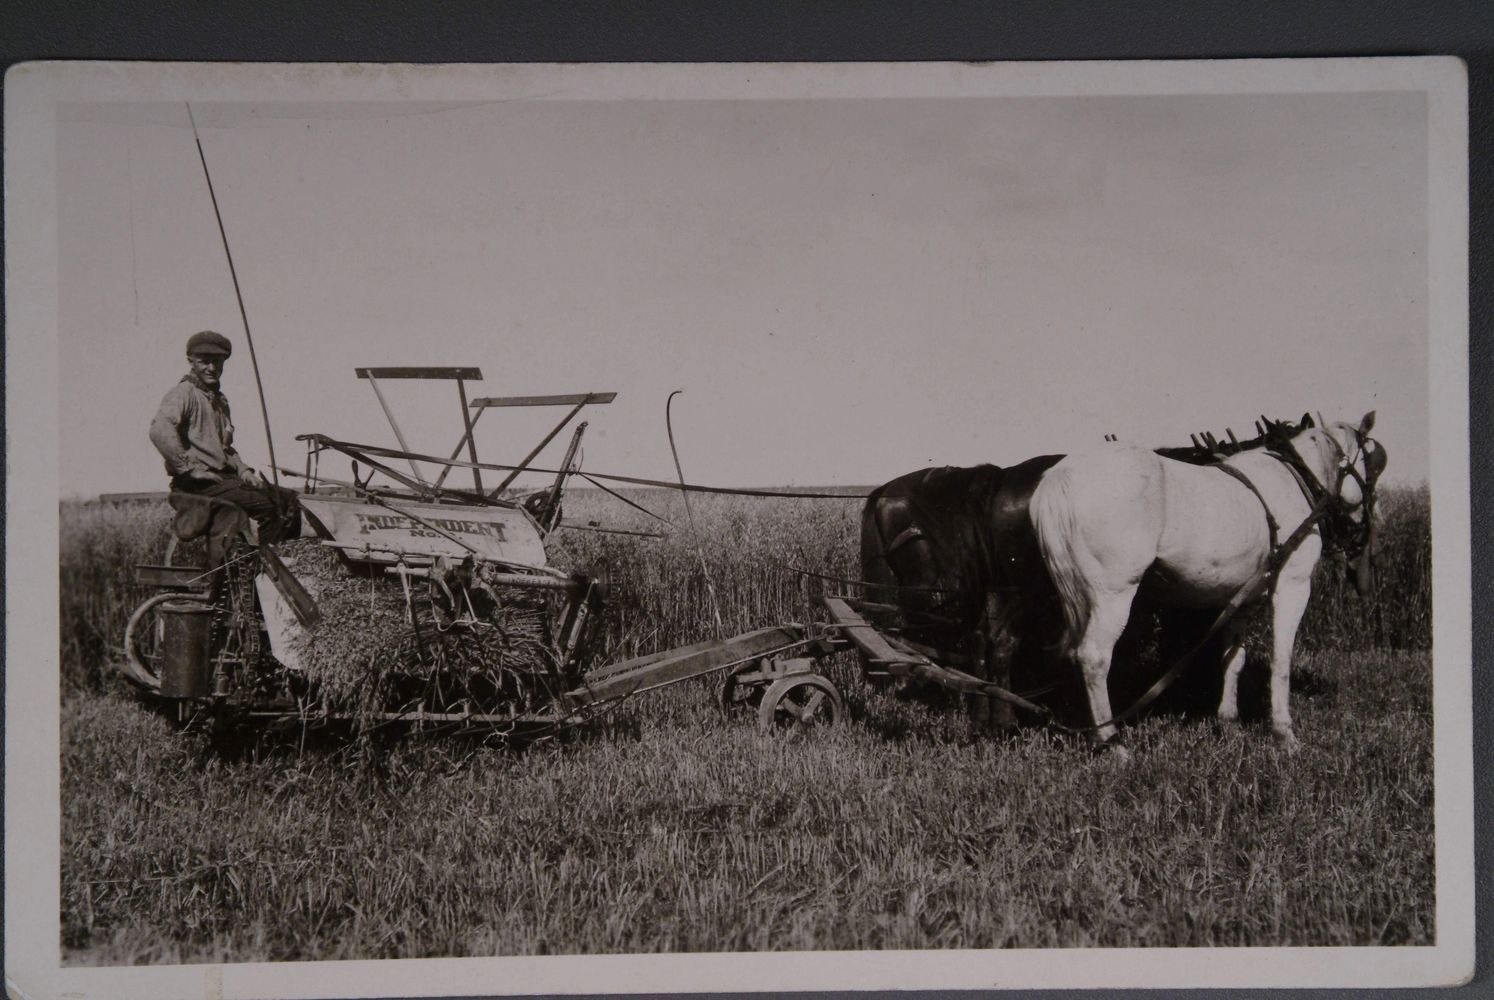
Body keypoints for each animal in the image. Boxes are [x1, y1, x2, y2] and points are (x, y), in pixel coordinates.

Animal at [1033, 412, 1380, 747]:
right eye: (1370, 463)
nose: (1364, 530)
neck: (1295, 478)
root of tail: (1060, 476)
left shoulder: (1243, 600)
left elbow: (1234, 659)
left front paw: (1229, 723)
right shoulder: (1293, 585)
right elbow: (1281, 660)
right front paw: (1284, 733)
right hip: (1112, 596)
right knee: (1093, 657)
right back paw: (1111, 741)